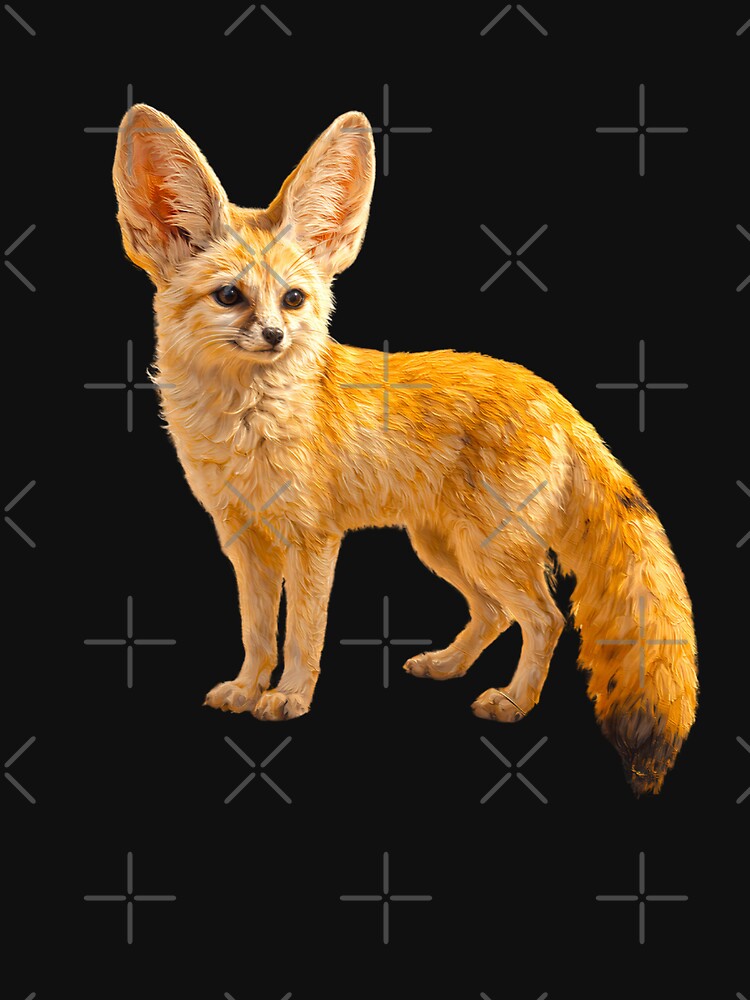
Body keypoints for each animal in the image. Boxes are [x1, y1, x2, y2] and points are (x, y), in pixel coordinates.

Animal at [112, 105, 697, 794]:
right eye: (231, 296)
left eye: (293, 299)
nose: (277, 335)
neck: (246, 430)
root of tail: (555, 397)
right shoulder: (242, 540)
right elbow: (258, 634)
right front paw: (247, 688)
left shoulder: (312, 541)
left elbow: (303, 634)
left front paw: (289, 698)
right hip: (444, 548)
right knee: (495, 615)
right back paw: (448, 666)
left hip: (487, 549)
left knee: (545, 619)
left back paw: (513, 702)